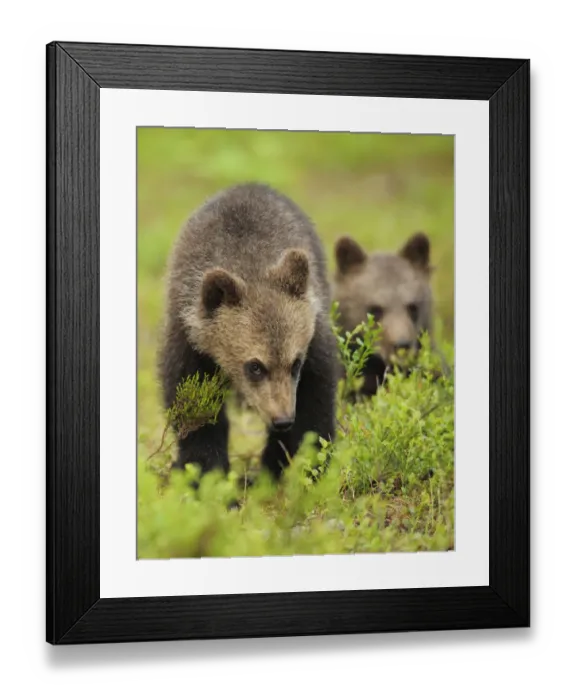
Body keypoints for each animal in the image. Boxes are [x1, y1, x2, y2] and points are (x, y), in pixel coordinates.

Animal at [157, 182, 339, 482]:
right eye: (255, 366)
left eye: (295, 363)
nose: (282, 419)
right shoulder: (189, 341)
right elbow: (194, 405)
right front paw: (204, 470)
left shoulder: (314, 336)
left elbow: (316, 399)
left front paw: (312, 463)